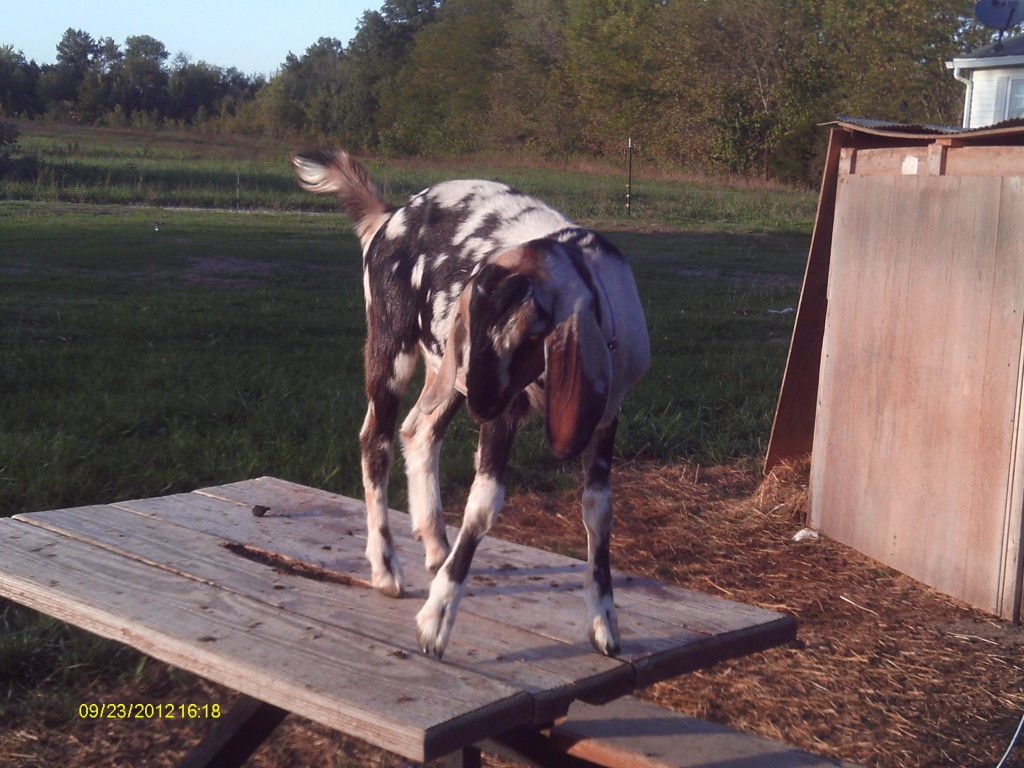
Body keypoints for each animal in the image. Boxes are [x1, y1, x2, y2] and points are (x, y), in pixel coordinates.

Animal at [292, 149, 650, 658]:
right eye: (470, 320)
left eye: (526, 333)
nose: (474, 388)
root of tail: (388, 217)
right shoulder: (503, 413)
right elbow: (484, 505)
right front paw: (435, 623)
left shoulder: (605, 417)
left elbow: (599, 511)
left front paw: (605, 623)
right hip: (393, 347)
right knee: (375, 440)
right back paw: (386, 567)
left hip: (439, 379)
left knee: (418, 432)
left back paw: (436, 547)